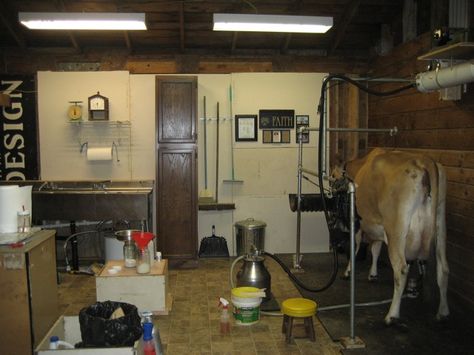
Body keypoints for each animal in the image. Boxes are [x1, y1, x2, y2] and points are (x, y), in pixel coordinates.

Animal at [334, 147, 448, 326]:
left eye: (333, 175)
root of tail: (424, 161)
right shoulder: (379, 227)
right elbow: (375, 248)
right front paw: (373, 274)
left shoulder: (359, 223)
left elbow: (356, 246)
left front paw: (348, 271)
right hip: (440, 223)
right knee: (443, 268)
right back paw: (443, 312)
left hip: (396, 229)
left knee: (401, 269)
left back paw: (392, 315)